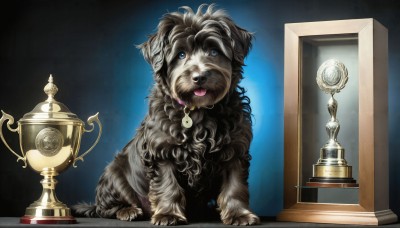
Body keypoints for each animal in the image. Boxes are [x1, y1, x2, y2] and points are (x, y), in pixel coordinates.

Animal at [74, 4, 260, 225]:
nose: (199, 77)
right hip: (114, 173)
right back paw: (128, 210)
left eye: (214, 51)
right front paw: (168, 214)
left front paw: (239, 214)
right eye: (181, 55)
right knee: (106, 207)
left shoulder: (235, 149)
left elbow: (235, 186)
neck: (198, 111)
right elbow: (167, 185)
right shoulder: (162, 151)